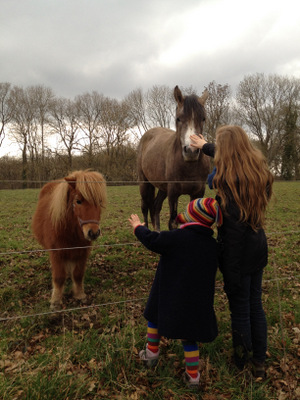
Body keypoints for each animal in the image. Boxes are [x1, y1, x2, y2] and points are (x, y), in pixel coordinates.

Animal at [32, 169, 107, 310]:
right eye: (78, 201)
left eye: (99, 201)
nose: (93, 233)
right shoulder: (57, 253)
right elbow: (59, 277)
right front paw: (55, 301)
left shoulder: (82, 252)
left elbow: (77, 274)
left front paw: (79, 295)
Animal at [137, 86, 210, 231]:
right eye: (178, 119)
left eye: (203, 118)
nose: (191, 151)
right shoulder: (173, 192)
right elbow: (172, 222)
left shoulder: (198, 192)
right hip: (145, 183)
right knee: (145, 207)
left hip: (162, 187)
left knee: (155, 206)